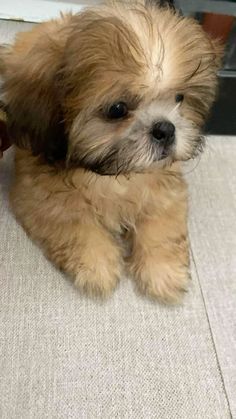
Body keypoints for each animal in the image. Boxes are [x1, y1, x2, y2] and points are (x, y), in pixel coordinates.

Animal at [0, 0, 222, 302]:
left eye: (179, 98)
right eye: (117, 109)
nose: (165, 129)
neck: (113, 175)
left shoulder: (166, 192)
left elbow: (162, 227)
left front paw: (163, 273)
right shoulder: (41, 198)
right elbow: (75, 226)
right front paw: (96, 266)